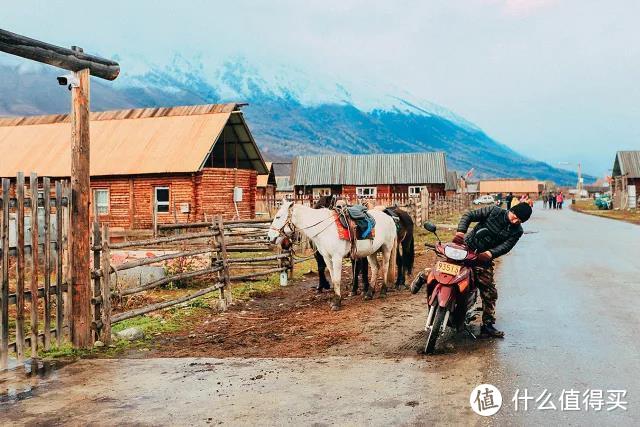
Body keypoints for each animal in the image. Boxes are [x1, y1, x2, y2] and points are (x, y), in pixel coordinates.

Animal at [264, 201, 396, 310]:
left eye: (278, 216)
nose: (269, 237)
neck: (323, 228)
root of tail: (389, 217)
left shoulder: (337, 258)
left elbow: (337, 279)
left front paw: (337, 302)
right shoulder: (327, 258)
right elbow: (333, 278)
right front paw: (335, 299)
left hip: (386, 248)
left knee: (384, 268)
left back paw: (383, 291)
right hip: (372, 251)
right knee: (375, 268)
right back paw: (369, 293)